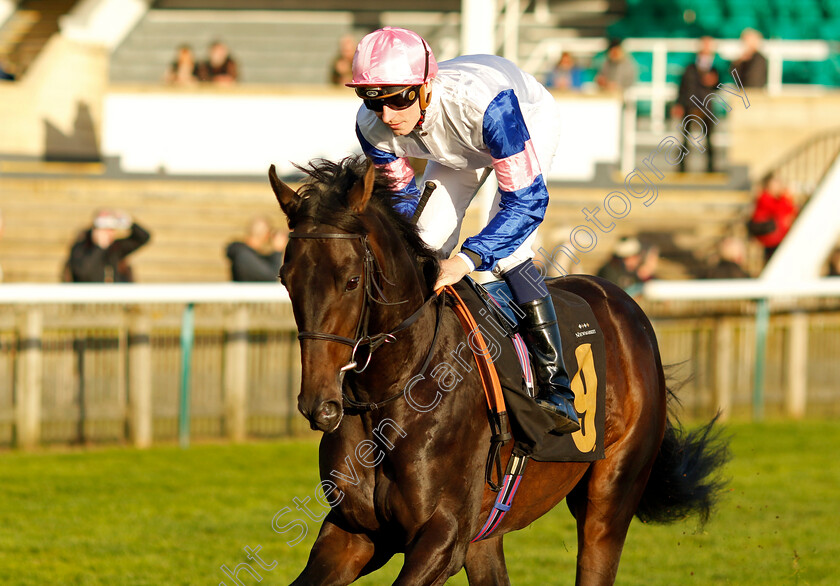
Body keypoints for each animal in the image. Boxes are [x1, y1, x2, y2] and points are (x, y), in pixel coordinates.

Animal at [270, 156, 728, 584]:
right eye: (285, 279)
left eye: (350, 280)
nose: (319, 405)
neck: (396, 392)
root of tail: (621, 300)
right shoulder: (355, 531)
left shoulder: (443, 536)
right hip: (488, 533)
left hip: (609, 498)